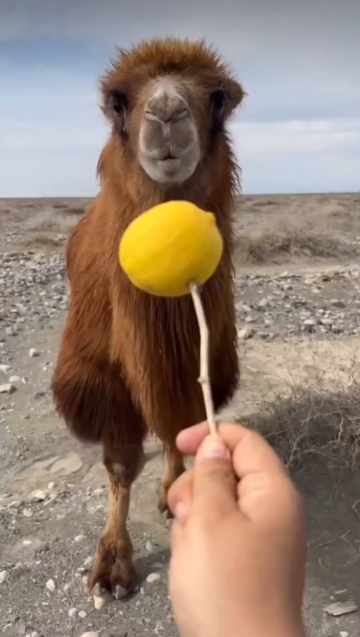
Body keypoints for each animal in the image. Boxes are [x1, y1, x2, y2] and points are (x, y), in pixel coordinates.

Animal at [51, 36, 245, 596]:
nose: (166, 113)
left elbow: (180, 423)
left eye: (219, 98)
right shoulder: (103, 380)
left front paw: (177, 491)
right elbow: (119, 465)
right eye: (119, 102)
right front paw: (112, 566)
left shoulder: (201, 365)